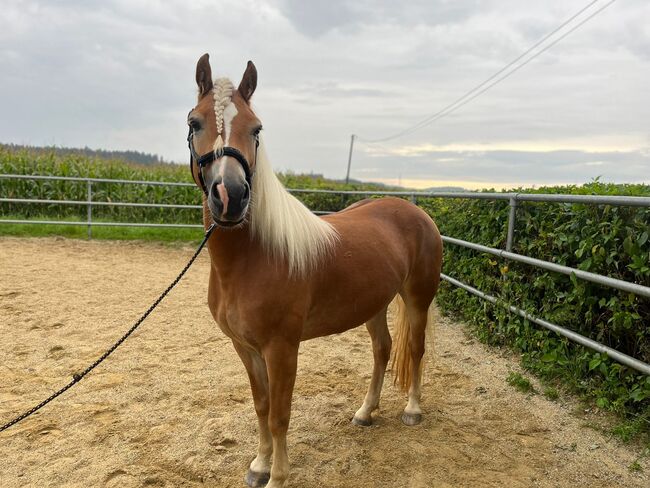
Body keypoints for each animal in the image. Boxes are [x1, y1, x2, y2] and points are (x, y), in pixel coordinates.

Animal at [185, 53, 442, 488]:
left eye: (256, 127)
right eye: (194, 122)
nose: (229, 195)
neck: (251, 259)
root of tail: (414, 210)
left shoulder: (282, 349)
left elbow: (279, 415)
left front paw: (277, 477)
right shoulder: (245, 348)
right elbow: (261, 405)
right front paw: (259, 465)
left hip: (417, 300)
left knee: (414, 348)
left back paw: (412, 410)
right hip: (374, 304)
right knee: (382, 350)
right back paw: (365, 412)